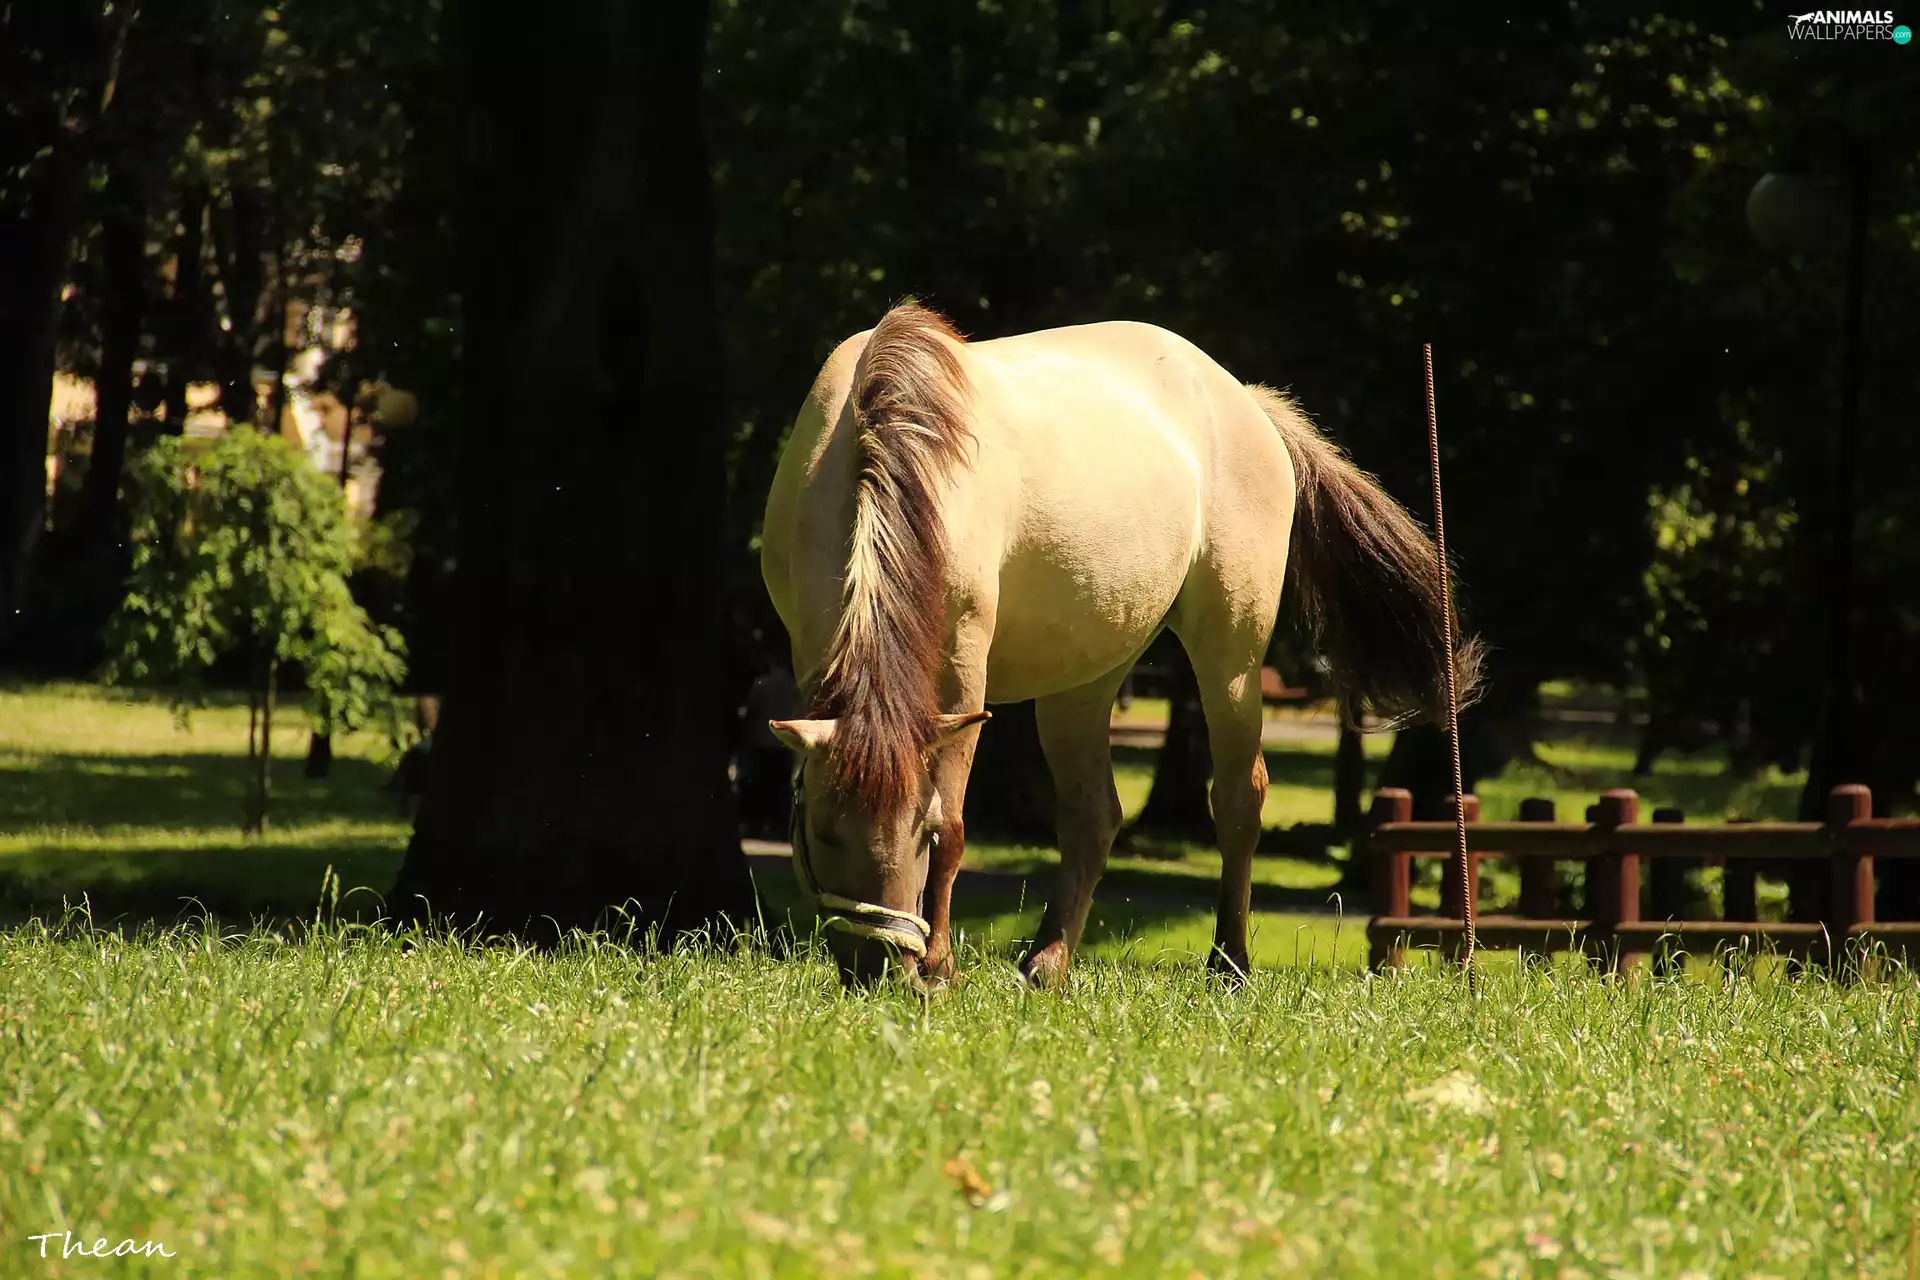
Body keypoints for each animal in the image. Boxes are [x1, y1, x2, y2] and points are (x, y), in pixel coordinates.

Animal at [760, 302, 1482, 987]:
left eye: (919, 830)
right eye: (822, 828)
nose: (880, 966)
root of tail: (1245, 402)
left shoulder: (962, 668)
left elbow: (958, 820)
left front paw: (941, 967)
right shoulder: (812, 650)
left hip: (1231, 652)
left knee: (1239, 798)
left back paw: (1228, 962)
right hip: (1085, 679)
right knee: (1093, 815)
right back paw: (1045, 964)